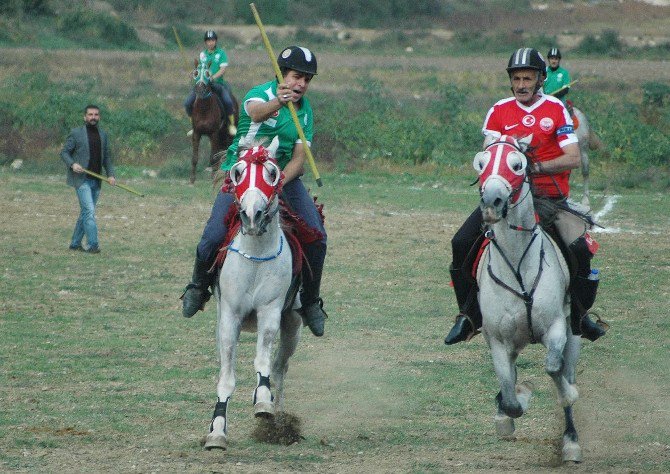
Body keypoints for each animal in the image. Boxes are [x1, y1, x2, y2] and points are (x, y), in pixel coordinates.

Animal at [202, 146, 302, 450]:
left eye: (272, 172)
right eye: (237, 172)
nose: (252, 215)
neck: (256, 255)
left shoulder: (270, 311)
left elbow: (264, 360)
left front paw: (263, 402)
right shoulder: (230, 317)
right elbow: (226, 378)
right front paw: (217, 431)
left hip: (293, 325)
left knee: (280, 368)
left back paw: (277, 418)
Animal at [476, 136, 584, 462]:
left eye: (517, 164)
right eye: (481, 163)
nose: (492, 203)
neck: (517, 265)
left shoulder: (556, 328)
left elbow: (553, 369)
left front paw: (565, 395)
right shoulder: (498, 341)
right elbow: (510, 396)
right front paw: (513, 403)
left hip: (574, 334)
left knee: (566, 370)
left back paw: (571, 441)